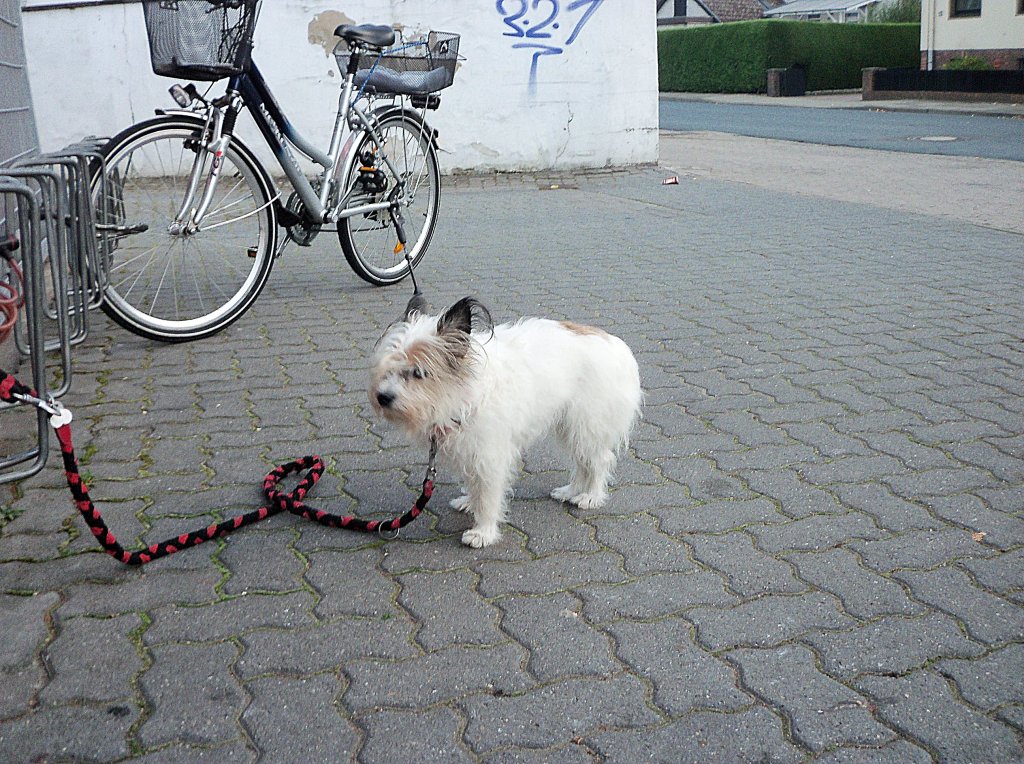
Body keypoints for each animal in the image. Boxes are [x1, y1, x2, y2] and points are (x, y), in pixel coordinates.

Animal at [368, 296, 638, 548]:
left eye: (418, 372)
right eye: (388, 367)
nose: (383, 397)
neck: (463, 394)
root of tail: (614, 344)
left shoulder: (489, 456)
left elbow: (488, 496)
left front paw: (483, 531)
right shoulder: (471, 449)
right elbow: (474, 484)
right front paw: (469, 502)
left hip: (587, 426)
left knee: (600, 461)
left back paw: (590, 496)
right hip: (570, 427)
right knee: (583, 463)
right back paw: (571, 491)